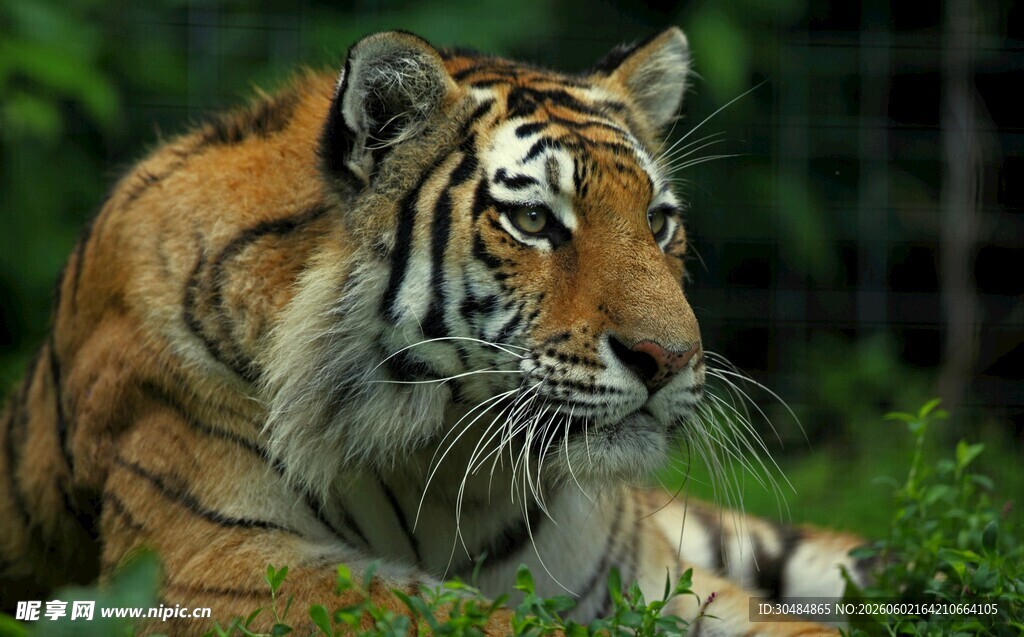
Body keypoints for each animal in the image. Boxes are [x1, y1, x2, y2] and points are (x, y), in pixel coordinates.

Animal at [0, 28, 867, 635]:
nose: (669, 358)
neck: (445, 471)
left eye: (657, 223)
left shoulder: (649, 574)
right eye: (533, 221)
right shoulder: (217, 568)